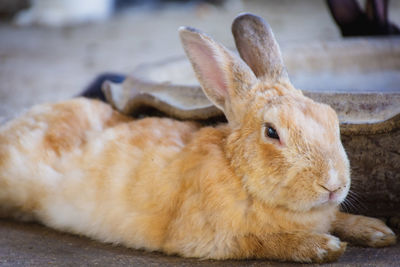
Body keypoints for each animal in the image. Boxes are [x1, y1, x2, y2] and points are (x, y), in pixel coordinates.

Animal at [0, 13, 396, 264]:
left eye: (331, 117)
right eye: (272, 132)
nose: (333, 185)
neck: (241, 176)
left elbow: (339, 219)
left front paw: (377, 231)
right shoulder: (217, 239)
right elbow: (263, 241)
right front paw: (322, 247)